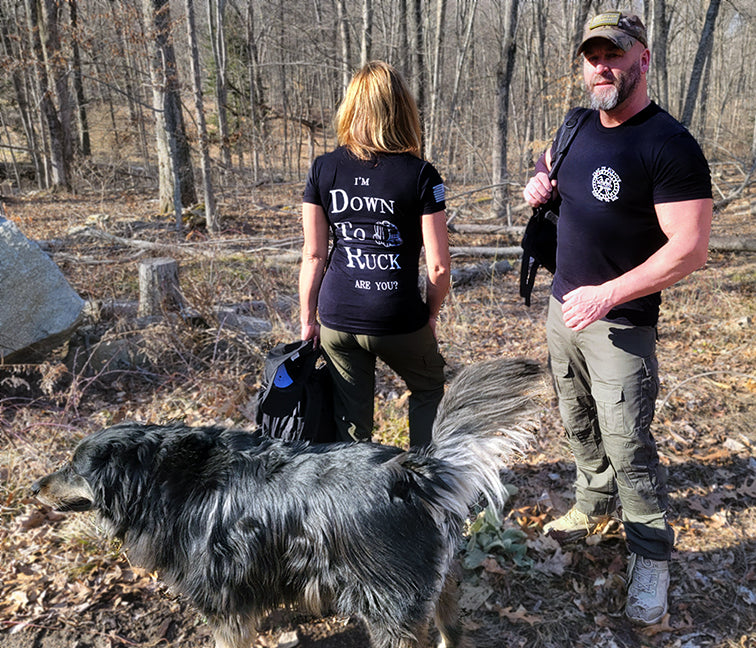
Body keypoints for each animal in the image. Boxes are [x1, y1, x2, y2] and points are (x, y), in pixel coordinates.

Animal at [34, 360, 536, 648]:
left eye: (73, 467)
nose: (33, 488)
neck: (161, 477)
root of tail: (415, 472)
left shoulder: (219, 597)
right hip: (441, 585)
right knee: (452, 631)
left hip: (389, 608)